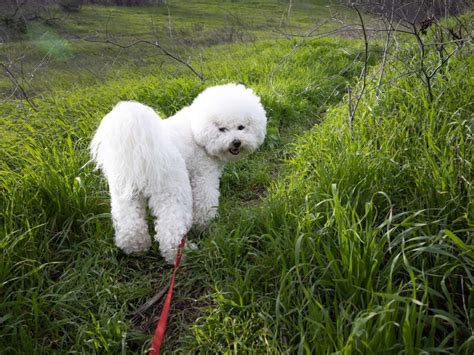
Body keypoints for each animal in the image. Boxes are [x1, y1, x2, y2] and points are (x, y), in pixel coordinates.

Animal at [89, 83, 266, 264]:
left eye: (241, 127)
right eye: (222, 129)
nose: (236, 142)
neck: (196, 130)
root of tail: (141, 150)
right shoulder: (204, 175)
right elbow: (205, 203)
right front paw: (204, 226)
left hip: (126, 193)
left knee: (129, 224)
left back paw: (136, 249)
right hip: (172, 189)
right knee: (170, 230)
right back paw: (184, 254)